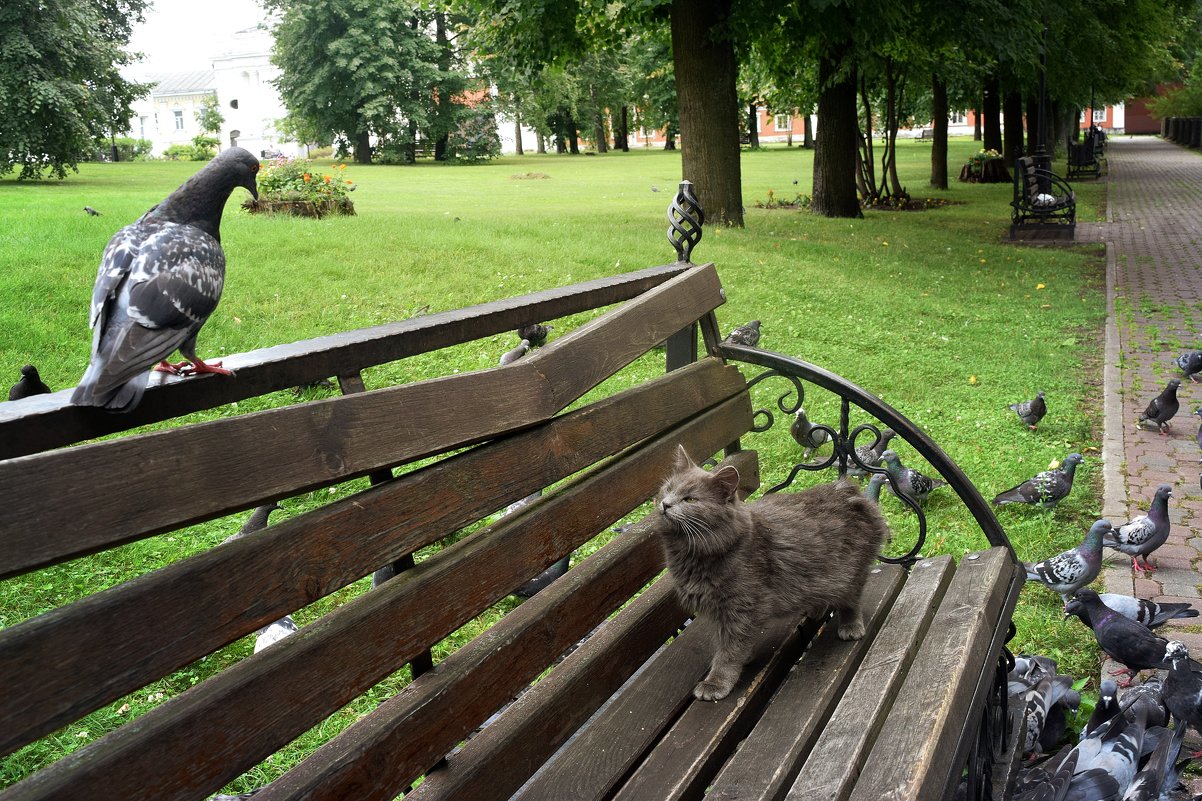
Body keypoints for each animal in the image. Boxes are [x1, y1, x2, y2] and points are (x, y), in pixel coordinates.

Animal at [653, 442, 889, 697]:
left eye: (690, 500)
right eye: (668, 488)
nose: (665, 504)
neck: (692, 552)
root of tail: (848, 491)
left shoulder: (741, 608)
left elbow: (729, 650)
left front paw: (716, 682)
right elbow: (731, 645)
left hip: (851, 571)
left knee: (851, 602)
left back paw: (850, 627)